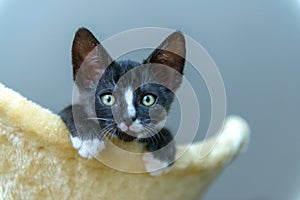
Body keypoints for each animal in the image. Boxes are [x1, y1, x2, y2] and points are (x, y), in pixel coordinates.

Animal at [58, 27, 185, 175]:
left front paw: (161, 154)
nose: (128, 117)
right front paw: (89, 138)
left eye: (148, 99)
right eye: (108, 99)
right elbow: (71, 109)